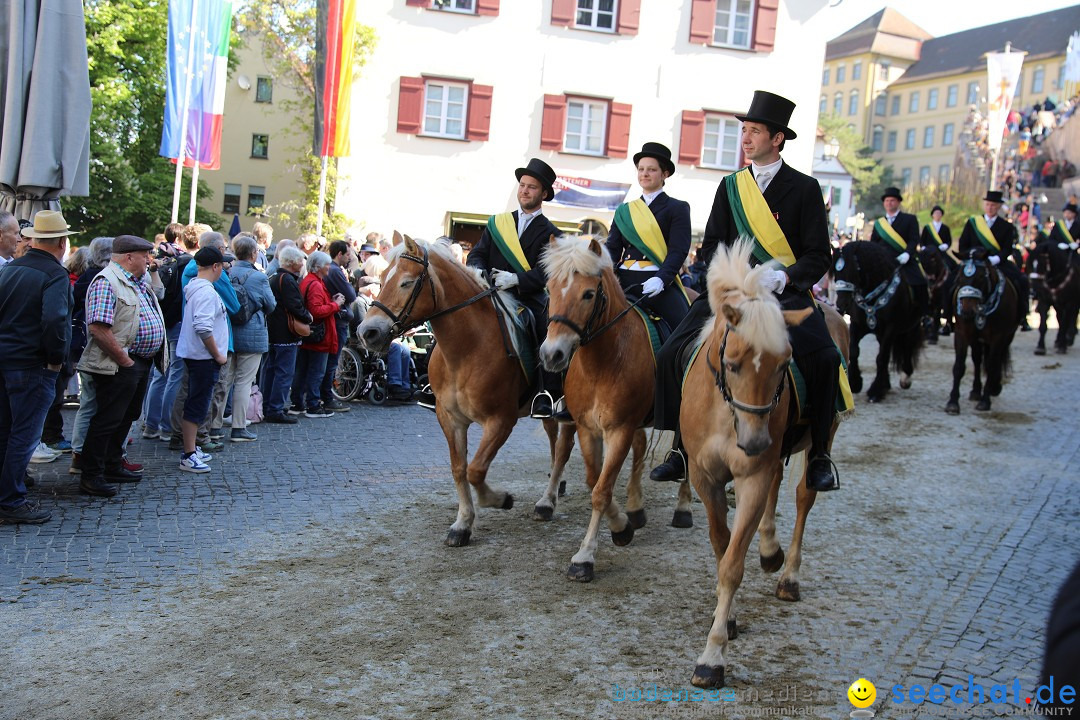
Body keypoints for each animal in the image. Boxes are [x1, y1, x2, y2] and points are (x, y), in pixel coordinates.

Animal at [358, 236, 574, 546]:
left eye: (406, 283)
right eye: (383, 277)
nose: (367, 333)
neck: (467, 349)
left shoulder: (500, 421)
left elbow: (476, 469)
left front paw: (499, 499)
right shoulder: (450, 419)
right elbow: (459, 469)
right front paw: (462, 524)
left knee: (564, 448)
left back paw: (547, 502)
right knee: (554, 444)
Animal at [537, 239, 695, 582]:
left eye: (588, 294)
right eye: (550, 289)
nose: (552, 355)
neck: (604, 360)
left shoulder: (619, 429)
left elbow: (602, 489)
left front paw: (585, 556)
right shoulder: (588, 428)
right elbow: (594, 480)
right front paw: (622, 524)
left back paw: (684, 508)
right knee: (637, 450)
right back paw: (635, 507)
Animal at [682, 239, 851, 690]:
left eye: (783, 364)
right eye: (733, 363)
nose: (756, 442)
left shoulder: (752, 477)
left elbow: (732, 564)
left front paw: (713, 656)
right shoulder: (705, 478)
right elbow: (722, 545)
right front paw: (728, 618)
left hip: (821, 435)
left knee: (802, 495)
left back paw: (788, 574)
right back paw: (770, 550)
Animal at [829, 239, 924, 403]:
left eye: (853, 270)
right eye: (835, 272)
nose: (841, 304)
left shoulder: (890, 328)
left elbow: (881, 357)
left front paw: (875, 391)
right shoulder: (857, 325)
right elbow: (855, 351)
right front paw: (855, 382)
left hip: (912, 326)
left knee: (907, 347)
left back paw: (905, 377)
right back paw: (886, 384)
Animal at [946, 248, 1019, 414]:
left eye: (980, 277)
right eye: (959, 277)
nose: (966, 311)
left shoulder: (998, 337)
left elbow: (992, 366)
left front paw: (985, 401)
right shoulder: (962, 333)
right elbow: (959, 366)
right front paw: (953, 402)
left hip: (1007, 337)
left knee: (996, 360)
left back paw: (994, 388)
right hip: (976, 339)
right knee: (977, 359)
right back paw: (976, 390)